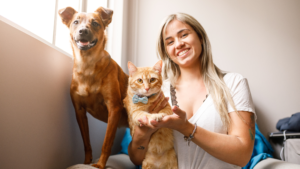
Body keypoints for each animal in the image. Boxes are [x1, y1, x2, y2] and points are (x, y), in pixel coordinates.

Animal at [58, 6, 129, 168]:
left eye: (95, 23)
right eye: (76, 22)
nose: (83, 31)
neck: (87, 65)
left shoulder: (114, 108)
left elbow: (106, 142)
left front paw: (100, 164)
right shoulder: (79, 111)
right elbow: (87, 143)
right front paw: (86, 162)